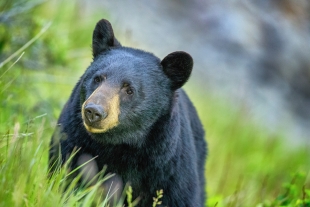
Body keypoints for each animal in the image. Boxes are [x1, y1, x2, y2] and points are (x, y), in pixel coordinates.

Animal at [49, 18, 207, 206]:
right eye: (97, 78)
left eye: (129, 89)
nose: (93, 111)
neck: (121, 145)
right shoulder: (72, 141)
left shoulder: (170, 171)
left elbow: (179, 197)